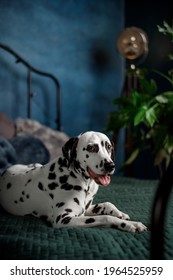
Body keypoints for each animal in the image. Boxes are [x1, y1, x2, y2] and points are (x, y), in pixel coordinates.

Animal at [0, 132, 147, 233]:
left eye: (109, 147)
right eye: (91, 148)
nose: (110, 165)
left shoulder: (86, 209)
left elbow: (107, 204)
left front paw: (121, 214)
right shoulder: (64, 219)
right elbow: (105, 217)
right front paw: (131, 224)